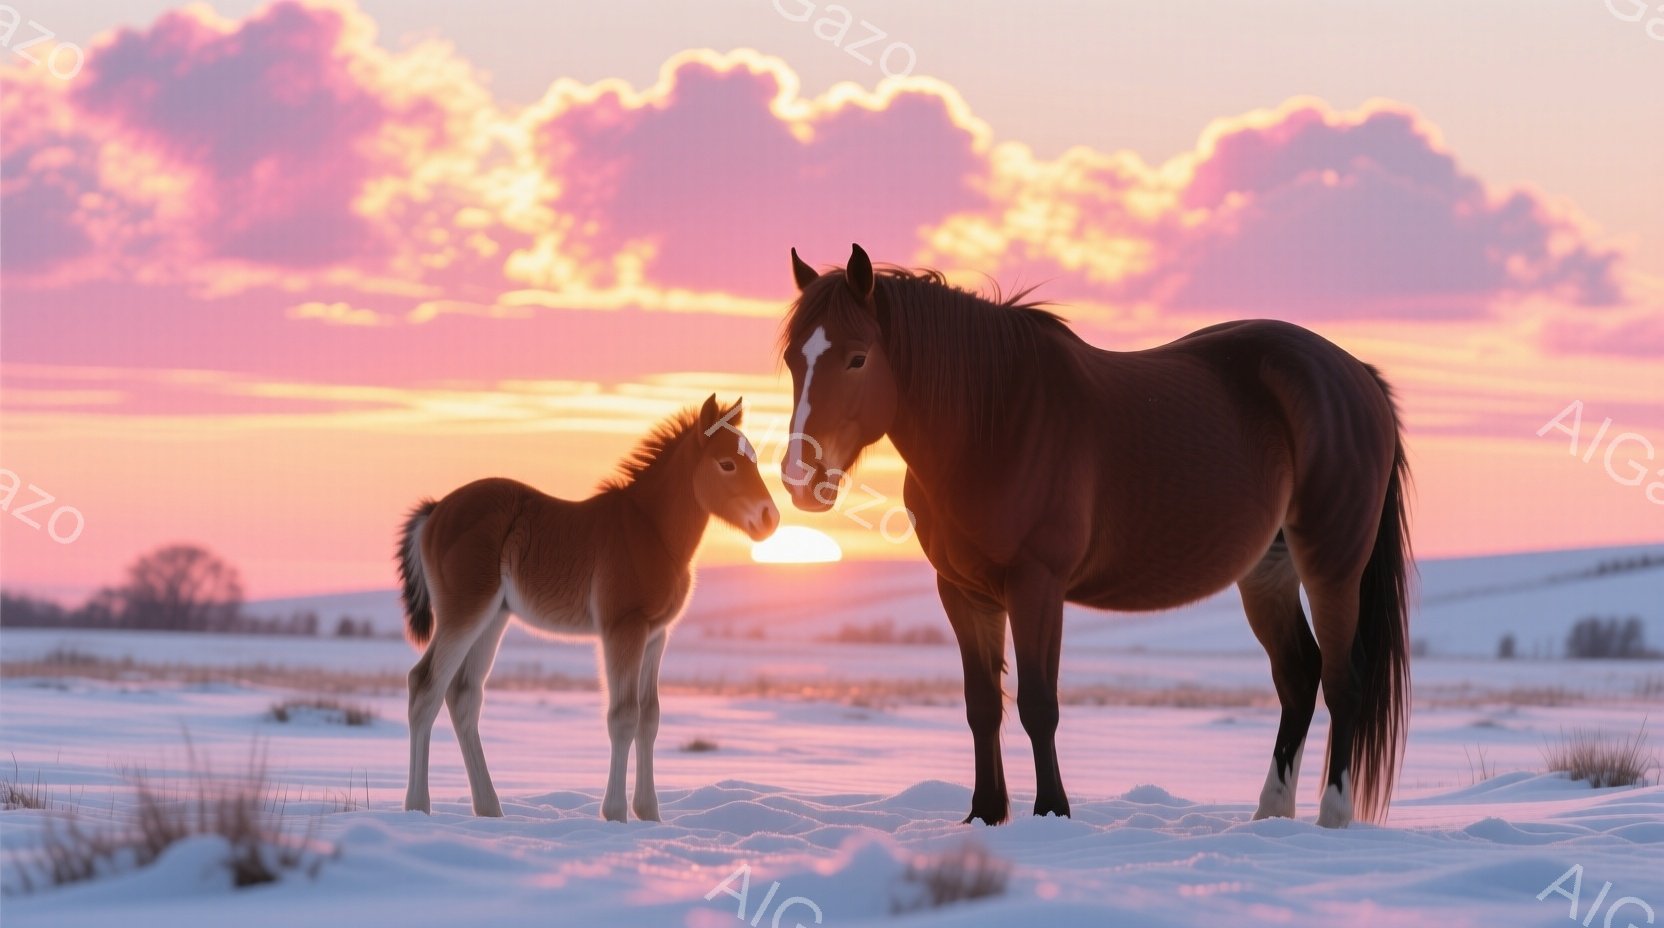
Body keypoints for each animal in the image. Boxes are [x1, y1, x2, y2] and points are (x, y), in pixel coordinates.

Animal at [396, 395, 779, 821]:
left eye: (753, 458)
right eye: (726, 463)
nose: (770, 518)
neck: (651, 531)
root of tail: (436, 509)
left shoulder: (656, 636)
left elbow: (650, 717)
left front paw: (650, 813)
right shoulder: (623, 629)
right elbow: (623, 716)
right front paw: (615, 814)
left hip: (493, 618)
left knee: (463, 695)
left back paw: (490, 809)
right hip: (464, 613)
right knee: (425, 685)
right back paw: (418, 807)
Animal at [778, 245, 1411, 828]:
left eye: (857, 358)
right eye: (790, 359)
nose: (800, 477)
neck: (995, 423)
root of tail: (1356, 374)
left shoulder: (1037, 586)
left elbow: (1039, 704)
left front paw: (1052, 813)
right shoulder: (963, 592)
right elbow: (982, 706)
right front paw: (985, 815)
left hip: (1332, 564)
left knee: (1342, 680)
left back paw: (1332, 817)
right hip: (1266, 573)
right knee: (1298, 676)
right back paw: (1270, 816)